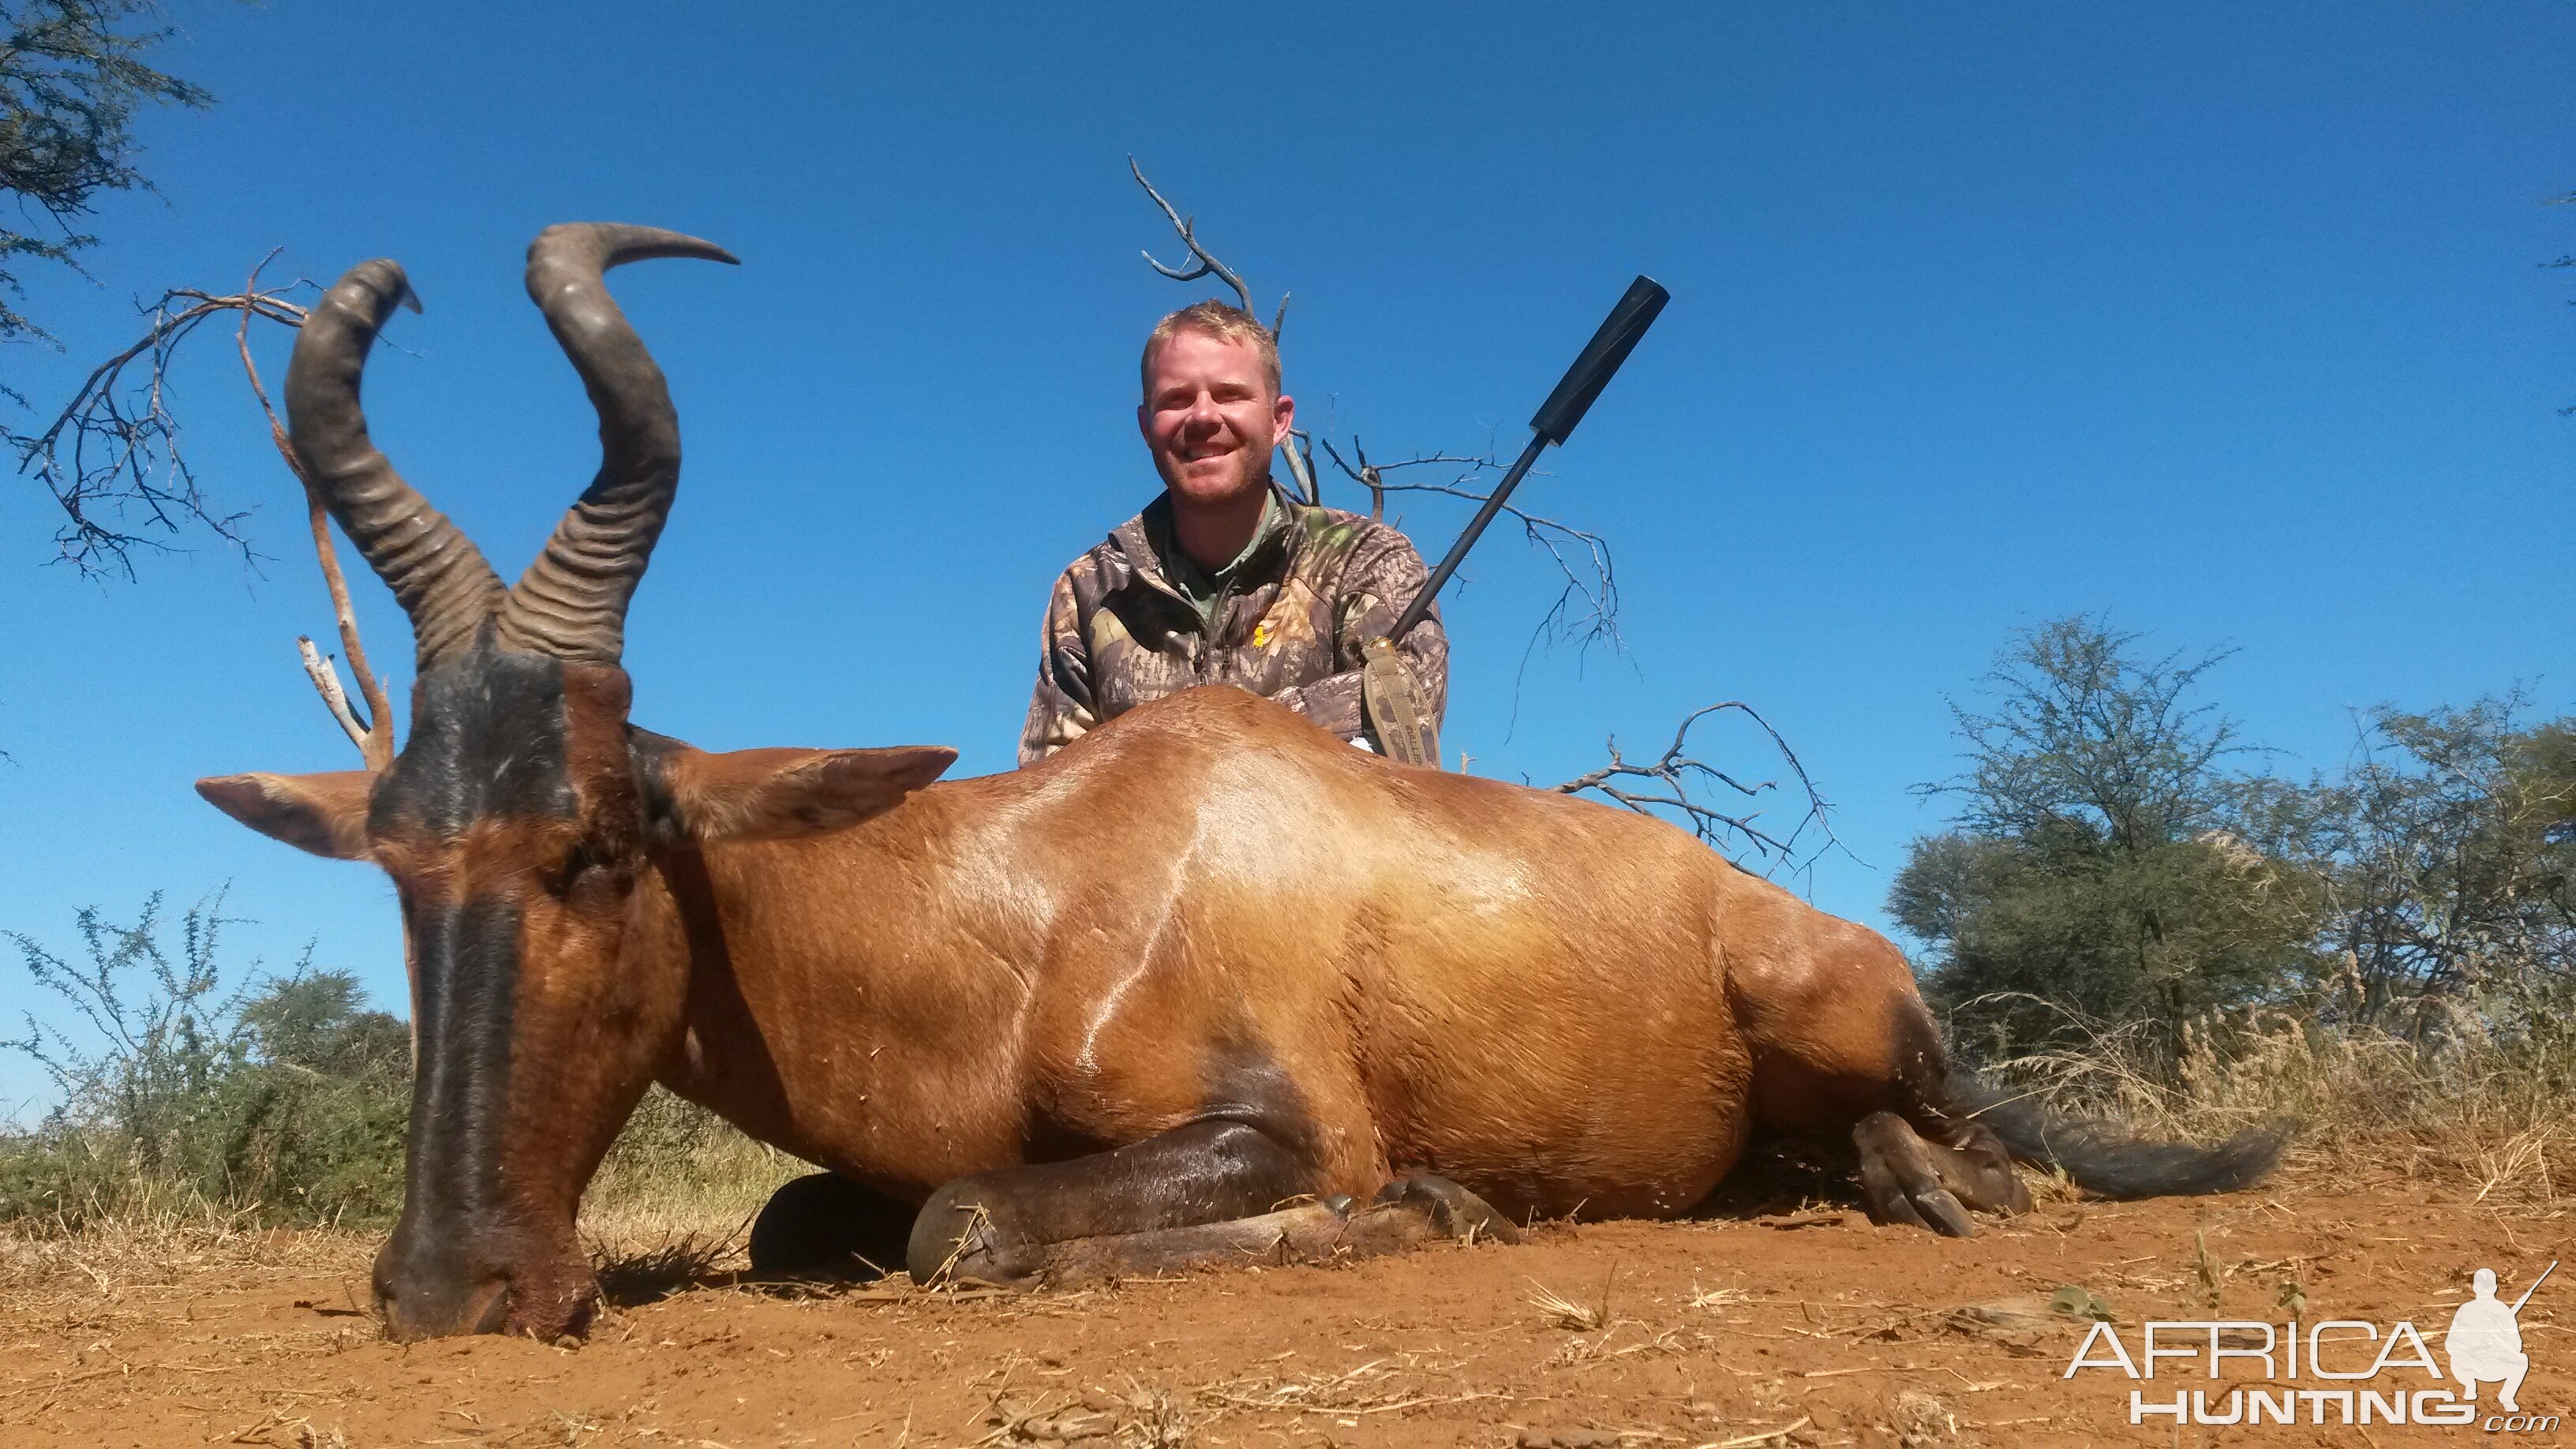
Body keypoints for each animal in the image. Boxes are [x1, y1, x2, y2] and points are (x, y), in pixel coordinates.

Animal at [206, 220, 2297, 1340]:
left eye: (602, 845)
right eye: (397, 861)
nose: (447, 1288)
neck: (1045, 882)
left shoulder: (1281, 1126)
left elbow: (971, 1223)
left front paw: (1445, 1212)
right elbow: (831, 1223)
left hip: (1836, 1010)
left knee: (1966, 1154)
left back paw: (1929, 1185)